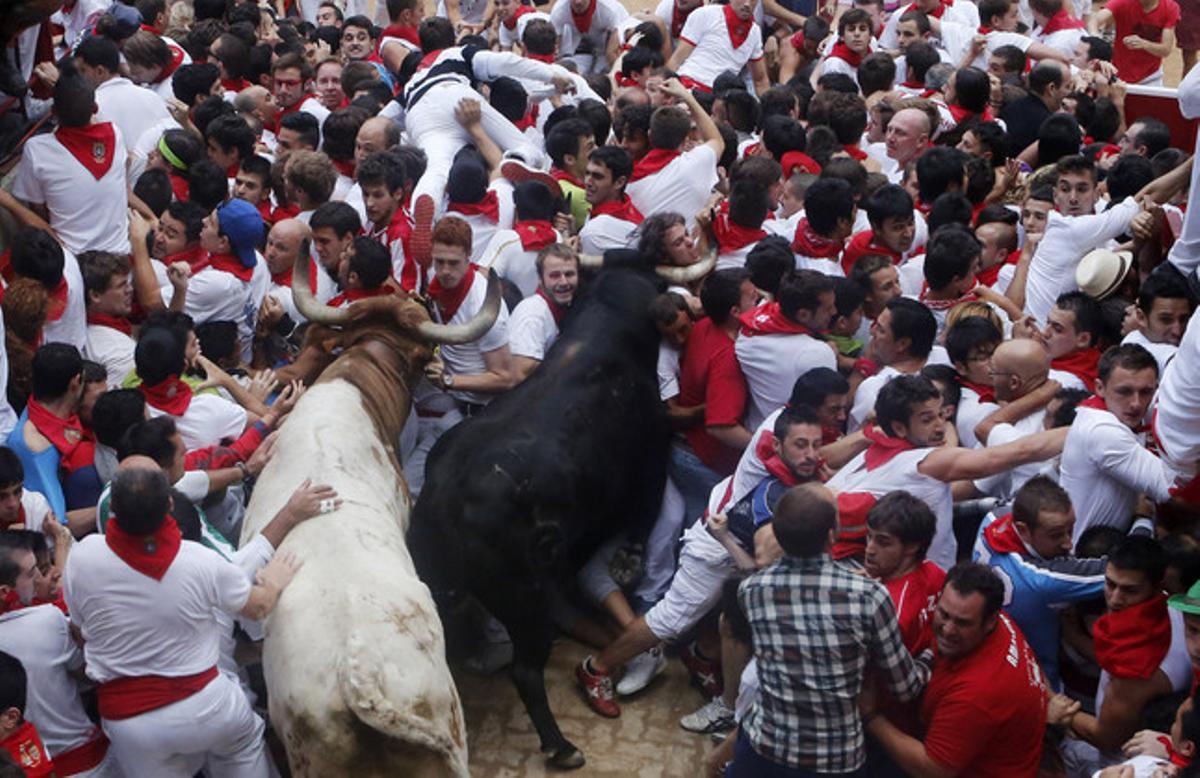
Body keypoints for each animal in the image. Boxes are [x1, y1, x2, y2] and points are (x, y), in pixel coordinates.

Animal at [410, 259, 700, 763]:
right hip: (524, 600)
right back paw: (562, 747)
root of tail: (440, 502)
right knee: (527, 672)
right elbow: (644, 514)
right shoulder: (651, 455)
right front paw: (628, 563)